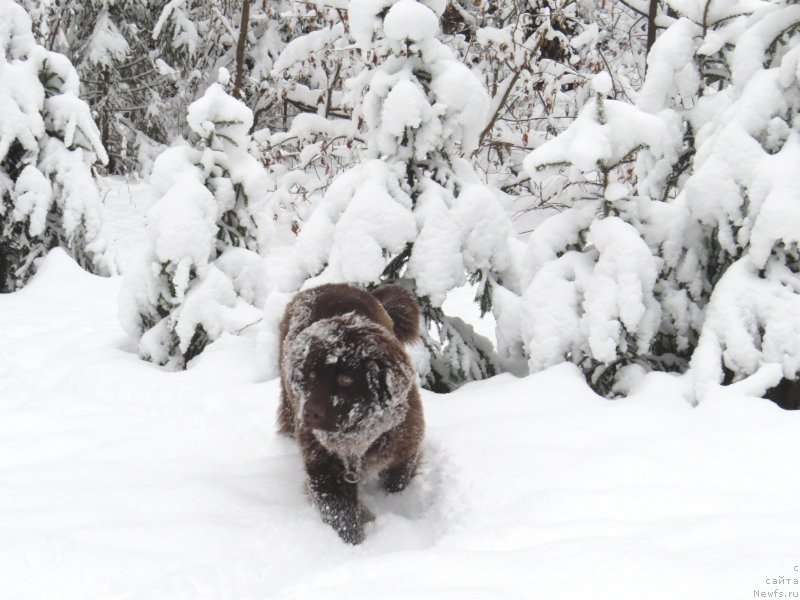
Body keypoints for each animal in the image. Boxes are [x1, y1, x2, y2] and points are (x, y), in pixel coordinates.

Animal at [278, 282, 424, 544]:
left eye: (345, 379)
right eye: (311, 376)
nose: (308, 414)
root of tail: (328, 285)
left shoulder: (405, 445)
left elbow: (398, 481)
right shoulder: (324, 470)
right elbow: (341, 515)